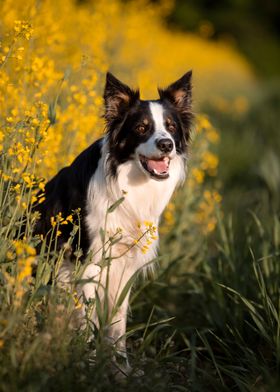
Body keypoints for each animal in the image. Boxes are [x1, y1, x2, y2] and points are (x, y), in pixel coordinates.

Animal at [34, 69, 192, 370]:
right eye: (141, 128)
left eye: (171, 127)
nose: (166, 144)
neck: (130, 183)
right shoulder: (89, 263)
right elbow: (88, 320)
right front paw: (88, 364)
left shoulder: (125, 263)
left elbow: (117, 324)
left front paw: (120, 367)